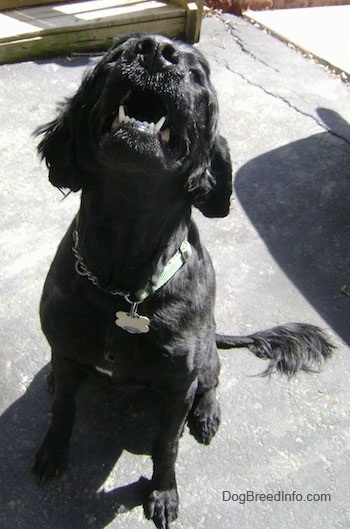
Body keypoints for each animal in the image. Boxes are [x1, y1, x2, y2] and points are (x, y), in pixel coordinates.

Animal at [33, 34, 334, 528]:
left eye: (198, 72)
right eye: (115, 56)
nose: (155, 50)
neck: (124, 282)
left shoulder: (177, 387)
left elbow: (167, 444)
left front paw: (163, 492)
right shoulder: (67, 346)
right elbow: (63, 413)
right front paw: (52, 452)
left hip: (205, 356)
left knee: (212, 379)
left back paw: (208, 414)